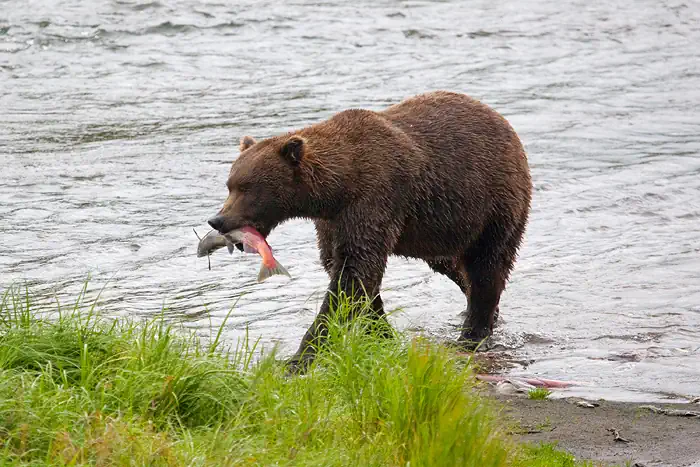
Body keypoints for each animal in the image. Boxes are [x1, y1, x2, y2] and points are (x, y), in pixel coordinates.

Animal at [208, 91, 532, 370]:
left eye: (248, 188)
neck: (337, 189)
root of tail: (504, 123)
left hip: (494, 203)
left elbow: (354, 273)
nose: (218, 220)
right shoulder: (333, 222)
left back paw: (474, 332)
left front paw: (298, 358)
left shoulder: (374, 199)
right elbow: (347, 270)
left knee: (488, 265)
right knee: (452, 264)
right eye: (230, 184)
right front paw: (381, 332)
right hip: (440, 228)